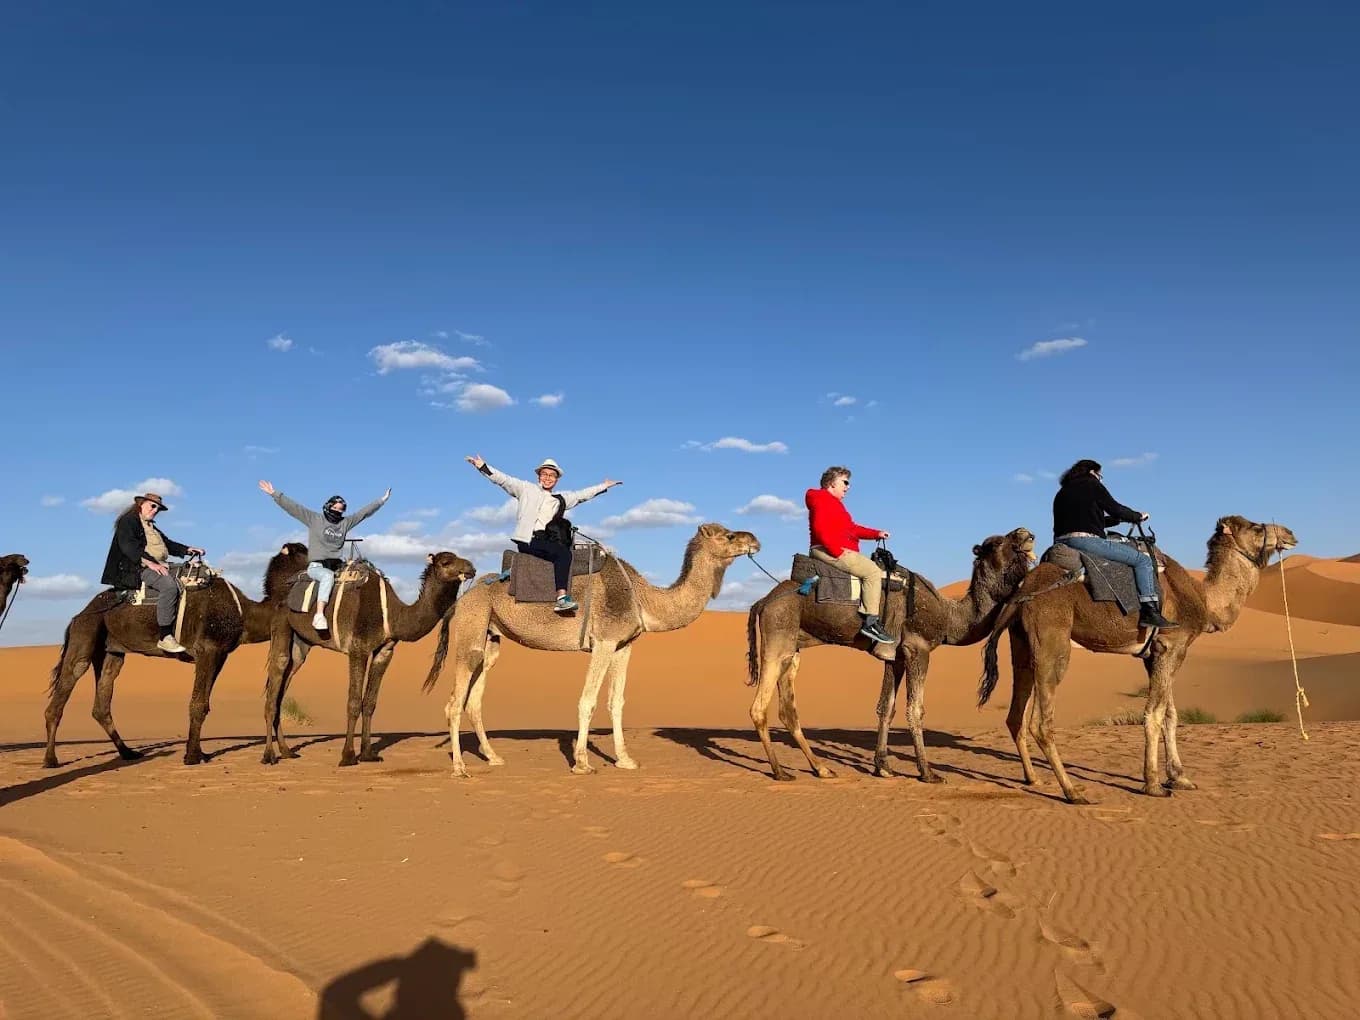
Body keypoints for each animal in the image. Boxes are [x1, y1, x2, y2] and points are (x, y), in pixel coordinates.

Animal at [43, 544, 309, 768]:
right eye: (304, 555)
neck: (244, 613)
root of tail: (77, 616)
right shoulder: (207, 649)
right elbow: (198, 704)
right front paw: (191, 757)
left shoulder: (220, 655)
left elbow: (204, 703)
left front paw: (199, 753)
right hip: (86, 633)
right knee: (69, 681)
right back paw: (50, 759)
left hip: (112, 651)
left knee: (102, 700)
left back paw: (128, 753)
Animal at [261, 550, 476, 767]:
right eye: (446, 562)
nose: (471, 568)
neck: (392, 616)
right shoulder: (359, 649)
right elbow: (354, 702)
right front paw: (348, 755)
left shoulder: (384, 651)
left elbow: (370, 703)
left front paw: (368, 754)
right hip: (281, 623)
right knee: (276, 680)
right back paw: (269, 755)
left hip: (300, 643)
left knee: (284, 685)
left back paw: (287, 751)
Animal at [432, 523, 761, 776]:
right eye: (729, 535)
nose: (755, 541)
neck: (642, 598)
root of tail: (462, 599)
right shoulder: (603, 642)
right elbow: (588, 701)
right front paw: (582, 763)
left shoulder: (623, 646)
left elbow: (616, 702)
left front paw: (626, 760)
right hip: (471, 628)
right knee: (454, 703)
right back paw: (460, 768)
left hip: (491, 639)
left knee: (474, 699)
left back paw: (493, 757)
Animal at [745, 529, 1036, 782]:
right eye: (996, 544)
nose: (1026, 533)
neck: (948, 616)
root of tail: (763, 601)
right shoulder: (918, 649)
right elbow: (915, 709)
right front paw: (928, 773)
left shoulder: (895, 657)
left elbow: (886, 707)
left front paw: (883, 767)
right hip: (777, 636)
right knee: (758, 707)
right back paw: (780, 772)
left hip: (791, 649)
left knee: (788, 709)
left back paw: (822, 769)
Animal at [977, 515, 1298, 803]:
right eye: (1256, 527)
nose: (1290, 533)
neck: (1204, 600)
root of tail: (1022, 589)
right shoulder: (1172, 645)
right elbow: (1154, 714)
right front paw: (1154, 784)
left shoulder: (1155, 653)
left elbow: (1170, 713)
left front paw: (1180, 777)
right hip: (1052, 640)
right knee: (1041, 723)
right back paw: (1072, 791)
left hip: (1020, 643)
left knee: (1015, 715)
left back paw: (1033, 778)